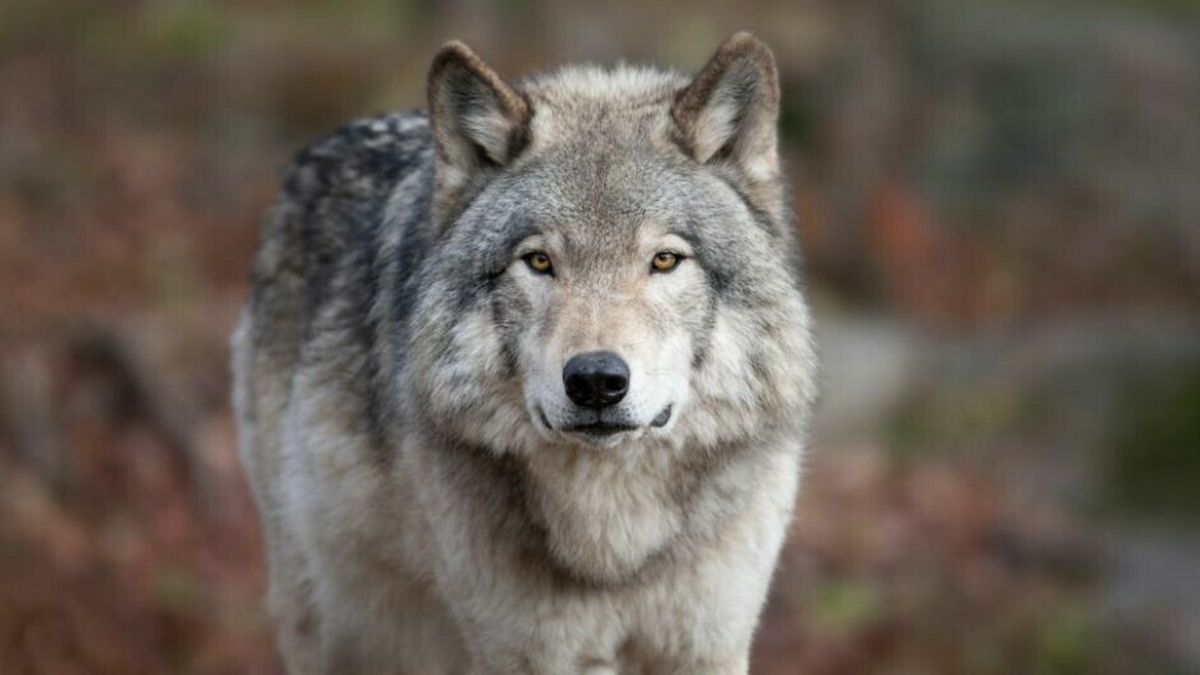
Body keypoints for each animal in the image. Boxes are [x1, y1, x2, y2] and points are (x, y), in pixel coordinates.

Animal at [232, 31, 817, 674]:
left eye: (664, 260)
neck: (611, 544)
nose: (595, 380)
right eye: (539, 261)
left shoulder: (706, 646)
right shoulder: (525, 653)